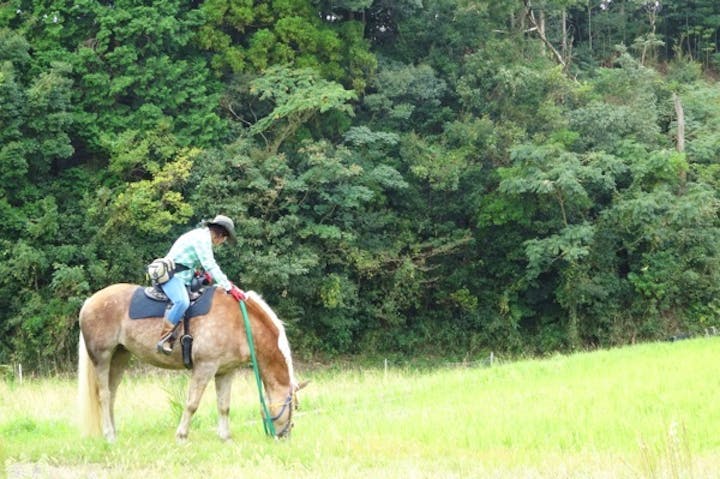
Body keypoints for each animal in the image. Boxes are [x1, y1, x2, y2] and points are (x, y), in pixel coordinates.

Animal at [77, 283, 304, 442]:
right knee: (104, 395)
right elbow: (192, 403)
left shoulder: (225, 371)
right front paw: (181, 436)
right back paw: (109, 435)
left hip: (120, 356)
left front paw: (225, 437)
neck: (240, 322)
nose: (285, 436)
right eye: (292, 406)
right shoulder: (205, 367)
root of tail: (90, 301)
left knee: (112, 394)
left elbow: (224, 405)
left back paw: (113, 432)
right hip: (102, 357)